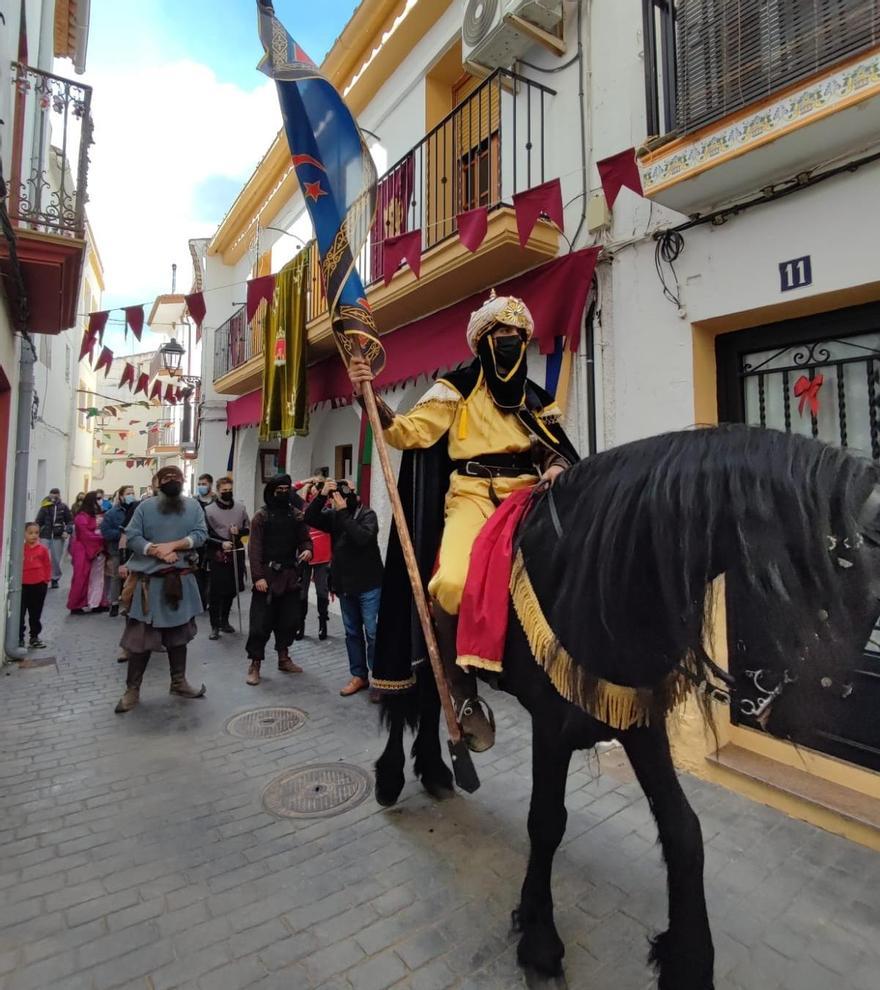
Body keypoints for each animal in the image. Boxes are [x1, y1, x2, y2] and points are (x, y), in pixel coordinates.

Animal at [374, 426, 880, 990]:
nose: (783, 712)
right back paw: (394, 775)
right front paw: (539, 941)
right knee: (411, 693)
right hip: (412, 629)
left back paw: (439, 767)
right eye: (833, 570)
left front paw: (688, 960)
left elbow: (685, 833)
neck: (602, 569)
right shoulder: (551, 727)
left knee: (433, 700)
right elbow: (546, 821)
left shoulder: (638, 720)